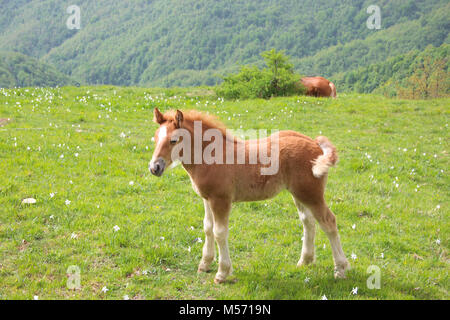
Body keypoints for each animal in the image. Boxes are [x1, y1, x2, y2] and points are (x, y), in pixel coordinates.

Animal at [149, 109, 350, 284]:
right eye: (156, 138)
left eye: (174, 140)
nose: (154, 167)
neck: (212, 155)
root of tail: (315, 143)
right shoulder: (207, 199)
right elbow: (207, 228)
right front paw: (205, 264)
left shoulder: (220, 200)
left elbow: (219, 233)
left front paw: (222, 273)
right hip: (298, 193)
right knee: (308, 221)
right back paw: (304, 261)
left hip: (311, 193)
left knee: (328, 222)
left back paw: (341, 269)